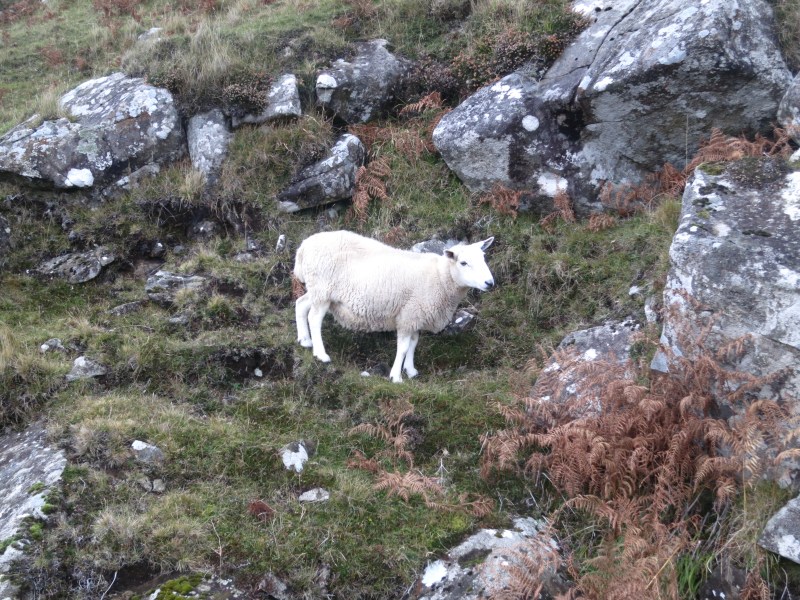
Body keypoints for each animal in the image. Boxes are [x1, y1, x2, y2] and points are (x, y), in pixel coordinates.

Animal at [293, 230, 495, 382]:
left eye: (484, 258)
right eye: (463, 262)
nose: (490, 283)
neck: (440, 277)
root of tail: (304, 246)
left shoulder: (415, 316)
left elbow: (413, 344)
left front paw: (411, 370)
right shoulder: (409, 316)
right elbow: (404, 347)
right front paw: (396, 376)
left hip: (317, 289)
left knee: (300, 304)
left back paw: (305, 340)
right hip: (322, 289)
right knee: (314, 318)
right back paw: (321, 354)